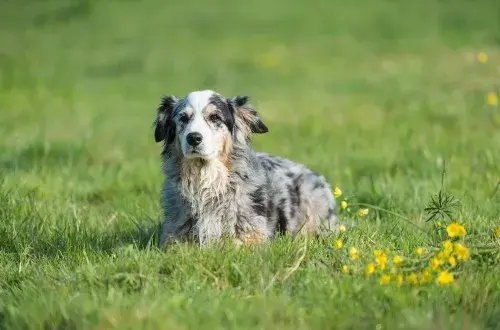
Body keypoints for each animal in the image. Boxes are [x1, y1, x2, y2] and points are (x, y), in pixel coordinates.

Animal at [155, 90, 336, 248]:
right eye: (183, 118)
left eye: (215, 117)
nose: (193, 138)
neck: (206, 180)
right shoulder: (173, 237)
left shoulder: (254, 236)